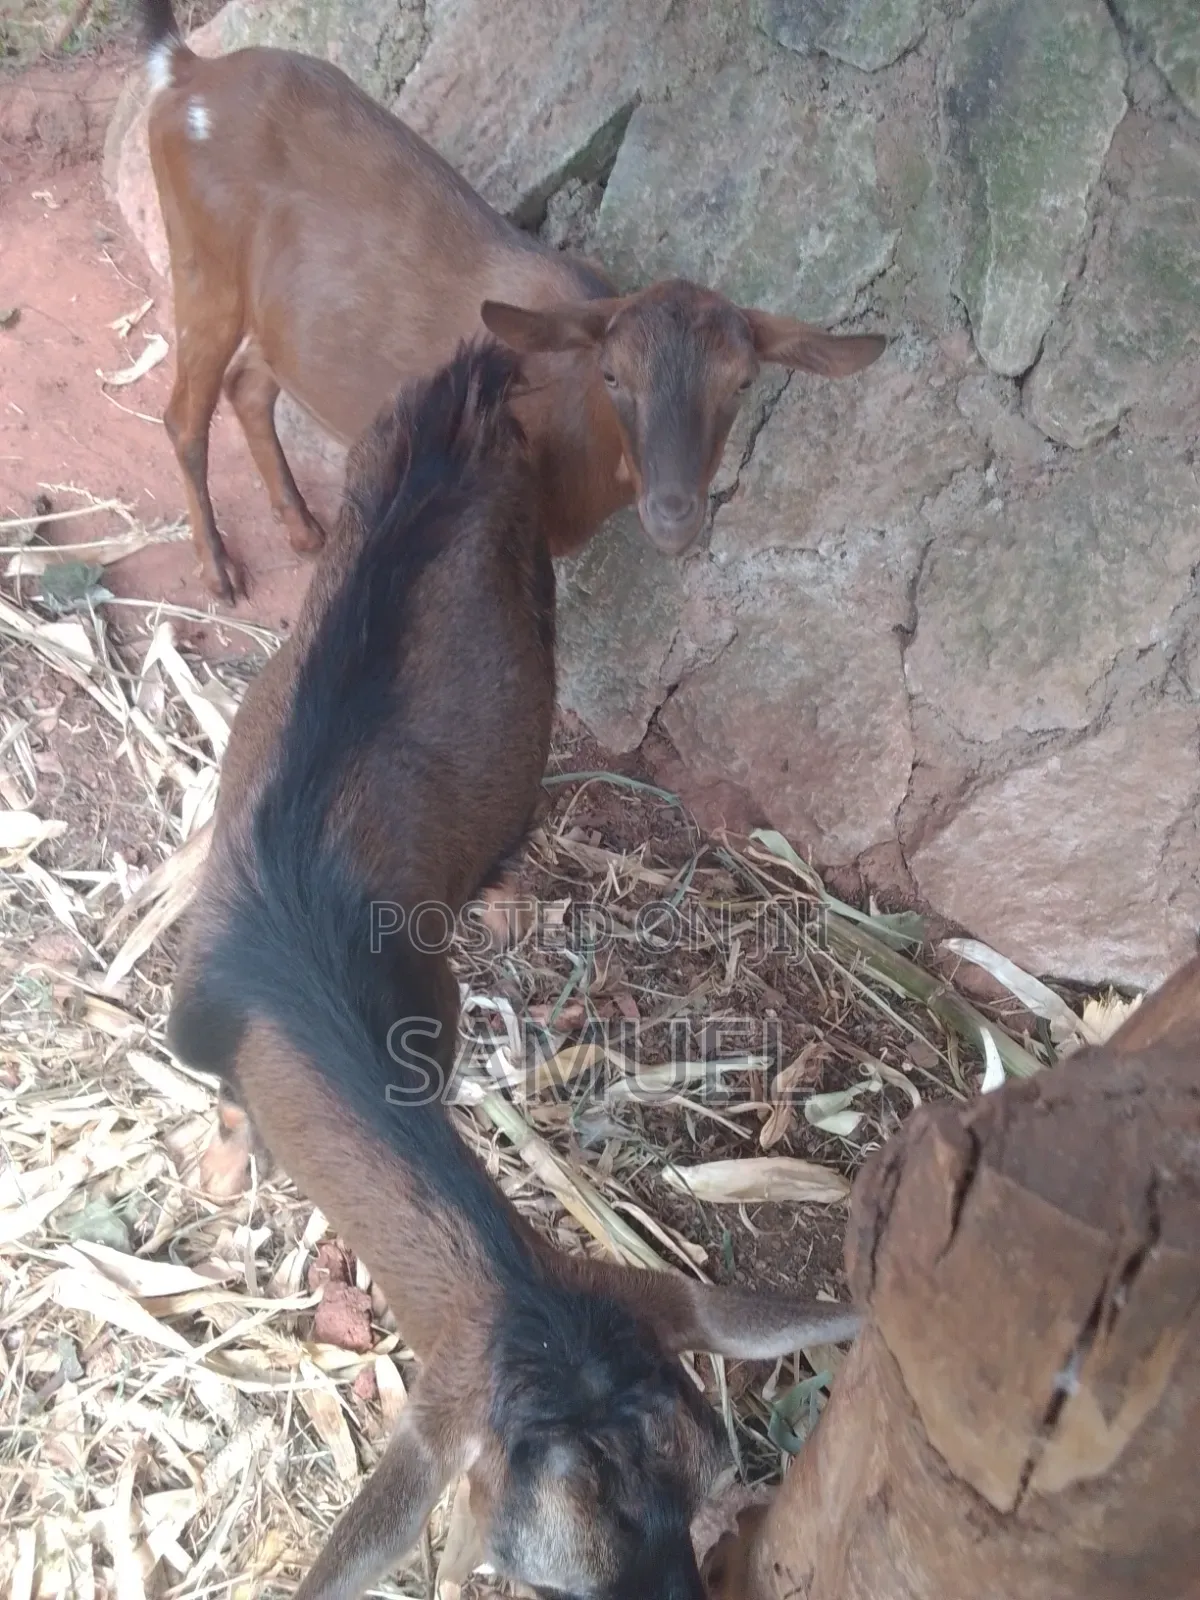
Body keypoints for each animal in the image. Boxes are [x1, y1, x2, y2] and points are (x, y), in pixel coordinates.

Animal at [138, 0, 886, 603]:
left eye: (743, 381)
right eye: (612, 373)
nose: (673, 515)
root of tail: (183, 72)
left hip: (273, 313)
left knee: (248, 383)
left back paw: (301, 529)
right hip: (201, 264)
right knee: (182, 415)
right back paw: (219, 572)